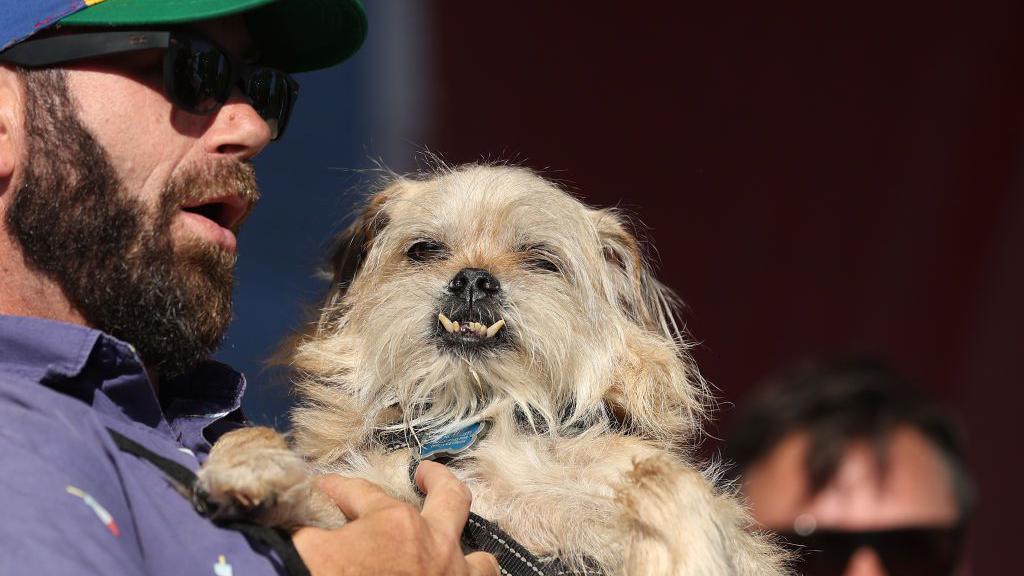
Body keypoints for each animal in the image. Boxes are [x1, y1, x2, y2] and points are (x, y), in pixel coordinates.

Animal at [201, 163, 790, 569]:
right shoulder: (374, 501)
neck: (475, 416)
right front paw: (250, 462)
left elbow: (667, 489)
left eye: (541, 260)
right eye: (425, 249)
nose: (473, 279)